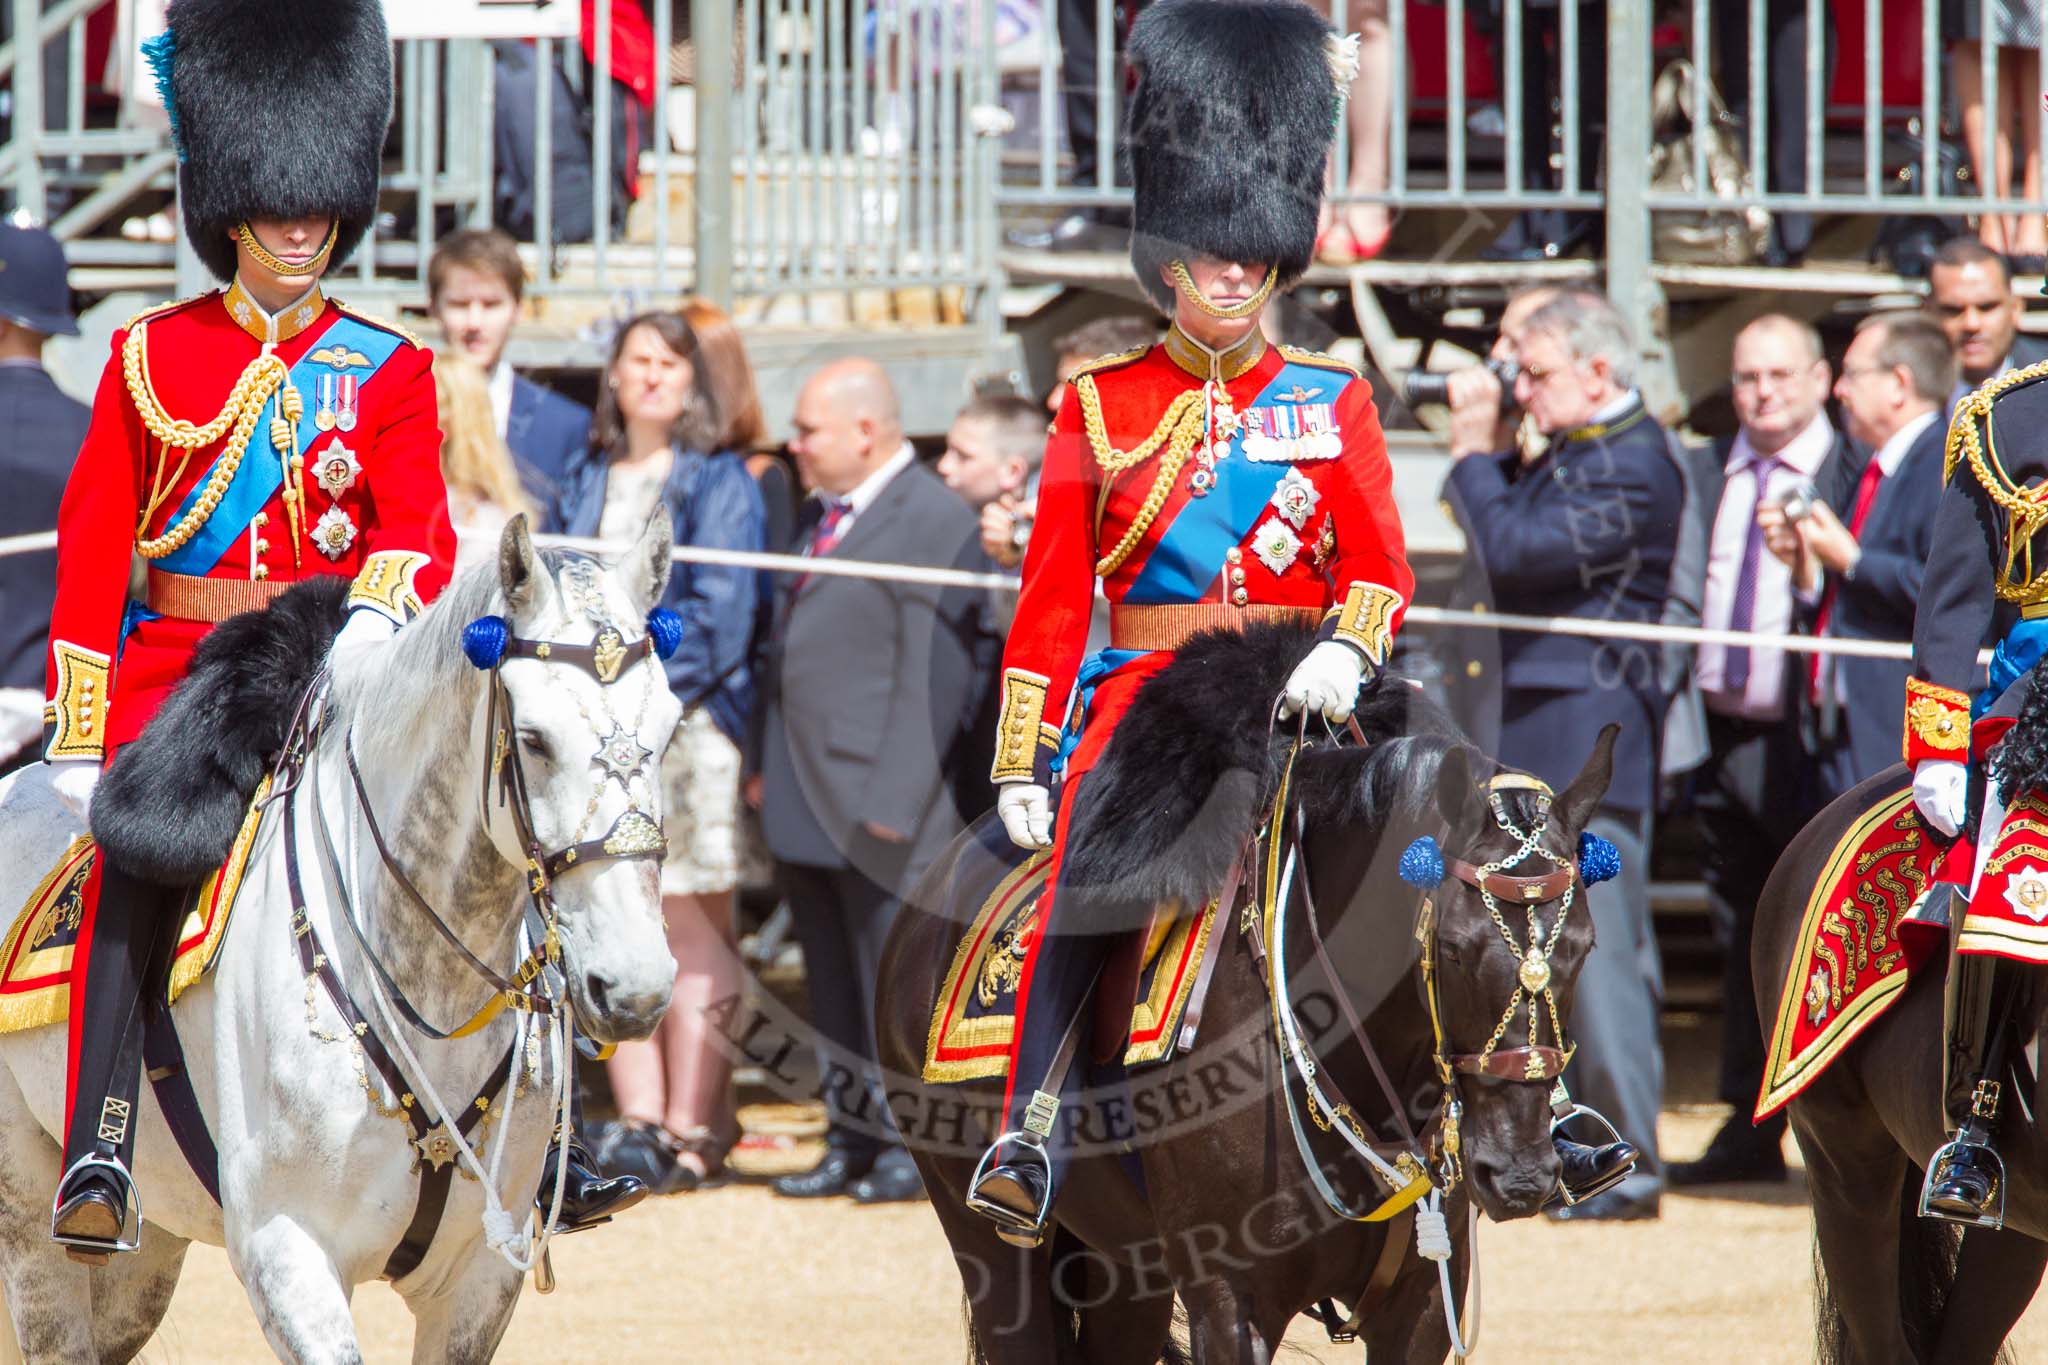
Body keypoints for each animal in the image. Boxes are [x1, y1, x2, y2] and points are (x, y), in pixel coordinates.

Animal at [872, 626, 1622, 1358]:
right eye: (1454, 949)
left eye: (1584, 947)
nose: (1519, 1174)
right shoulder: (1230, 1302)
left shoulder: (1423, 1306)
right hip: (993, 1250)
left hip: (1125, 1267)